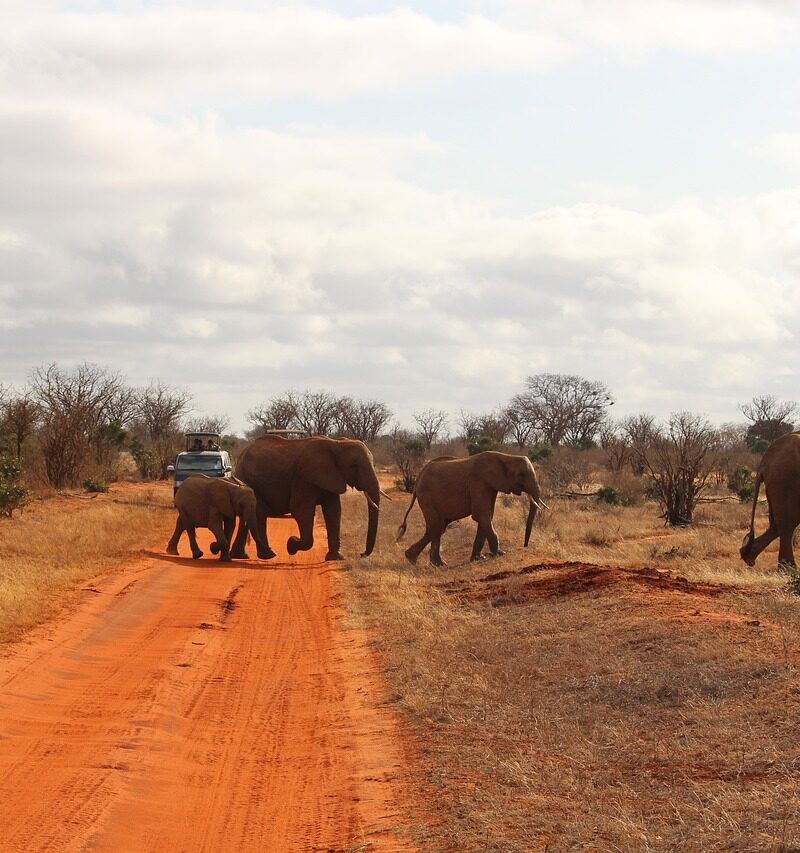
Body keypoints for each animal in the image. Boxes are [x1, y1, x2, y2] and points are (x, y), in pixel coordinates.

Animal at [230, 436, 382, 564]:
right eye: (353, 465)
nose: (361, 554)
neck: (336, 443)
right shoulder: (302, 478)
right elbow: (300, 510)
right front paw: (291, 544)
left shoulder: (331, 477)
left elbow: (334, 511)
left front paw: (336, 558)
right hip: (247, 480)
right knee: (258, 513)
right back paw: (268, 555)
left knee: (249, 515)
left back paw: (241, 556)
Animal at [396, 450, 548, 568]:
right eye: (521, 475)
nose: (525, 545)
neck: (506, 456)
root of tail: (418, 478)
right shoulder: (479, 482)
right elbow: (482, 515)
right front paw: (499, 554)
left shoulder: (490, 486)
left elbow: (487, 516)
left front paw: (479, 558)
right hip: (427, 497)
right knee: (437, 526)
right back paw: (418, 560)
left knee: (437, 528)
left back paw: (431, 562)